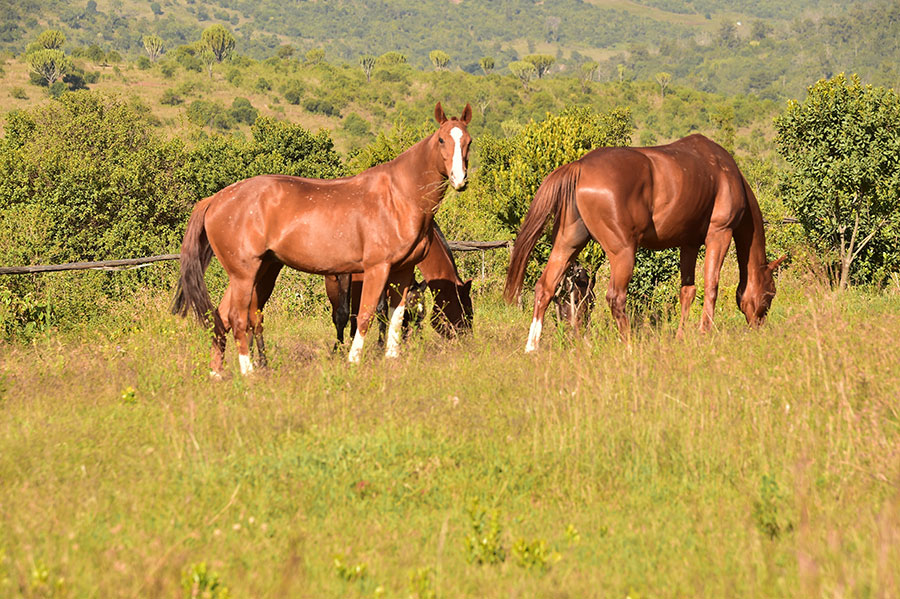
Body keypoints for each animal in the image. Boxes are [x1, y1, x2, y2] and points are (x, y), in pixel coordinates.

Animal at [503, 134, 786, 353]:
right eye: (770, 293)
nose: (760, 327)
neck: (724, 172)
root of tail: (580, 166)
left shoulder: (689, 243)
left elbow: (687, 291)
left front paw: (681, 336)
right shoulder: (720, 233)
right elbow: (711, 285)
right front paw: (705, 332)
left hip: (568, 244)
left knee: (545, 287)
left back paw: (532, 346)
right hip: (623, 252)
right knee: (615, 297)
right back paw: (629, 345)